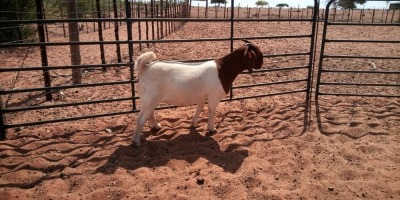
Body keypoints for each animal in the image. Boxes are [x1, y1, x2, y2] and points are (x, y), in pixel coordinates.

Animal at [133, 40, 264, 145]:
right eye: (257, 53)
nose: (261, 64)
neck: (223, 70)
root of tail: (145, 68)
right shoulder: (213, 96)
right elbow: (211, 112)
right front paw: (211, 129)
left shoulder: (202, 97)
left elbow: (199, 109)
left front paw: (194, 124)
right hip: (149, 98)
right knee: (140, 119)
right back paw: (136, 141)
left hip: (151, 99)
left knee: (150, 113)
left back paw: (156, 126)